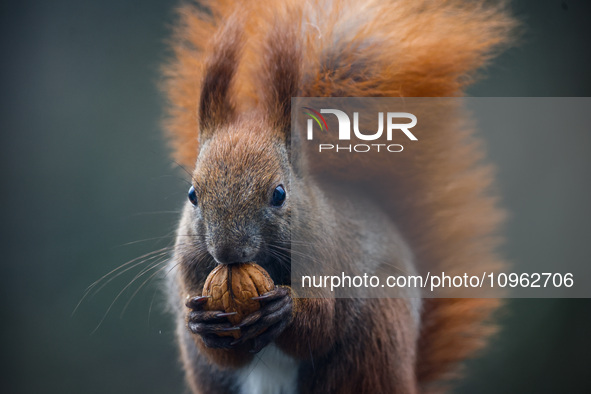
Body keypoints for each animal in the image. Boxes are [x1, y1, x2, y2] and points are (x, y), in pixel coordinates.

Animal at [162, 0, 520, 394]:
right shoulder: (191, 266)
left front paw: (284, 310)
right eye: (193, 195)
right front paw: (201, 321)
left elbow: (320, 328)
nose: (228, 252)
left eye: (279, 194)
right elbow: (223, 354)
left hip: (372, 344)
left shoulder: (327, 254)